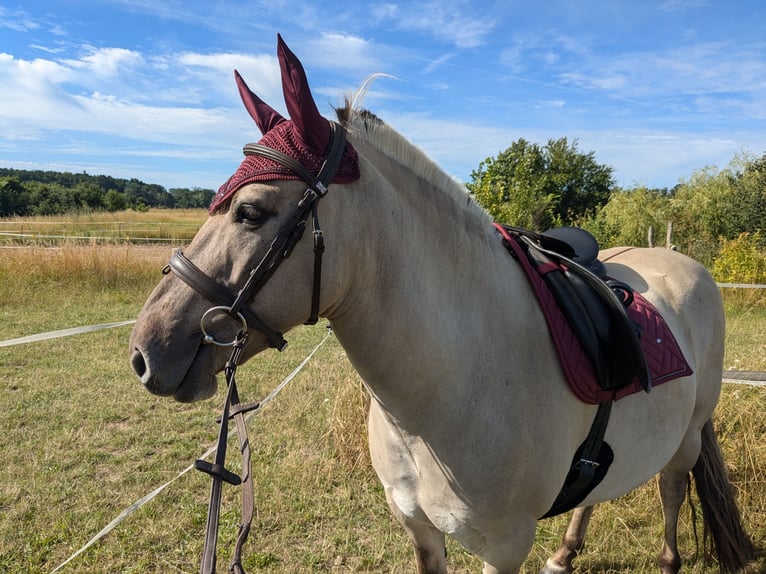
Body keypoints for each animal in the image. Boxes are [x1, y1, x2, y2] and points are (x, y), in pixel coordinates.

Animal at [129, 36, 752, 574]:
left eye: (251, 212)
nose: (144, 351)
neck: (451, 385)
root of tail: (685, 265)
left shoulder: (504, 547)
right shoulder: (419, 528)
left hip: (687, 439)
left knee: (671, 492)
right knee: (594, 494)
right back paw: (565, 554)